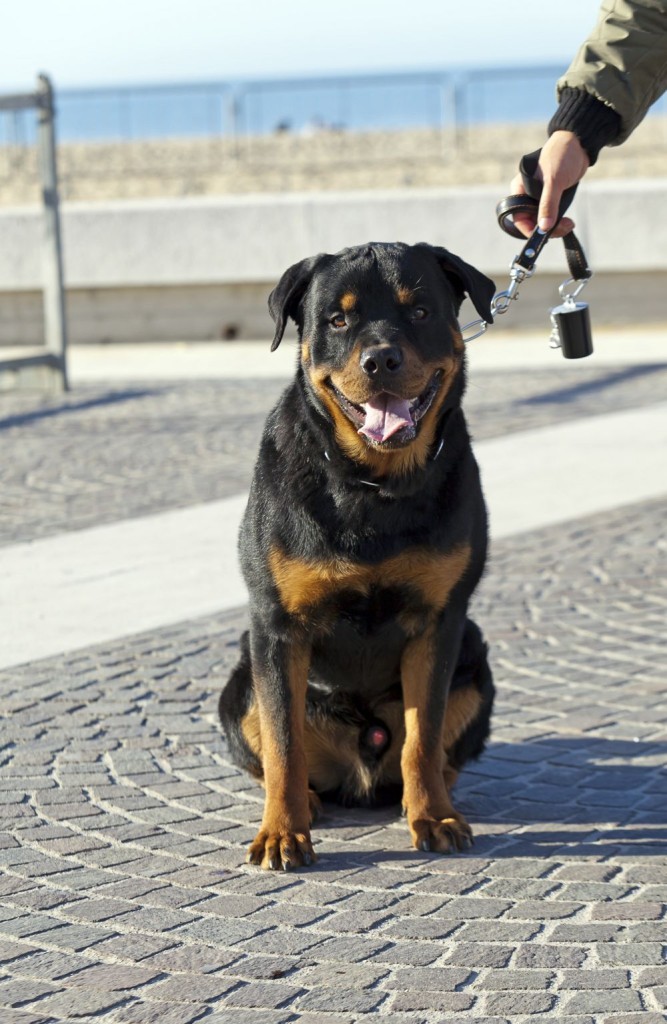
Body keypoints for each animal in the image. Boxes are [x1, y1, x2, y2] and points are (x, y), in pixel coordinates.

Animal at [221, 241, 497, 872]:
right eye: (338, 320)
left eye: (419, 310)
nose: (381, 359)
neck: (374, 486)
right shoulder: (276, 627)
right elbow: (284, 742)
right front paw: (282, 832)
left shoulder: (441, 623)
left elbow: (423, 735)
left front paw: (433, 816)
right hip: (240, 682)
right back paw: (307, 804)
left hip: (476, 662)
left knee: (436, 748)